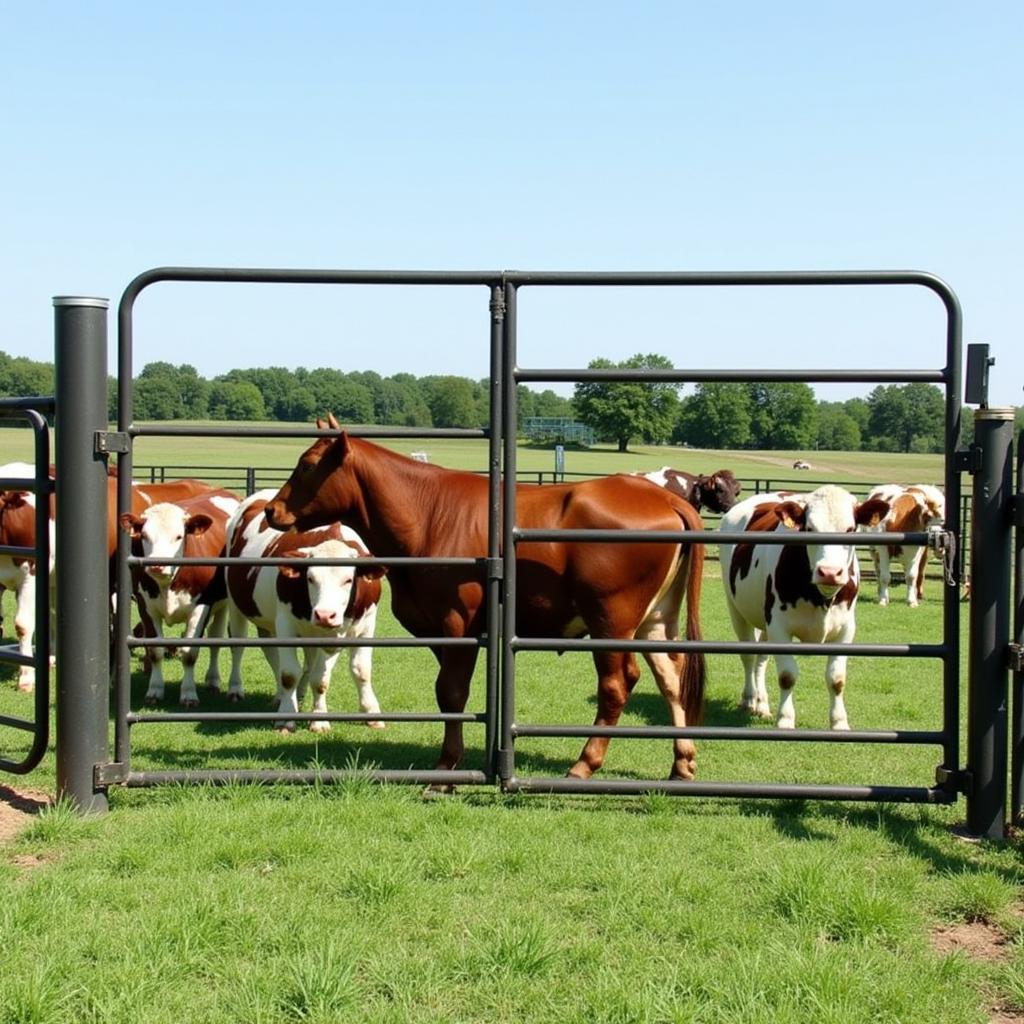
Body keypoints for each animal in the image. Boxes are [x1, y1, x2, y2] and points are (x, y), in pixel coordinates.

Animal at [117, 487, 239, 704]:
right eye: (144, 535)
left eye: (179, 536)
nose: (157, 564)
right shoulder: (145, 606)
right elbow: (155, 651)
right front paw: (155, 690)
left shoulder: (202, 606)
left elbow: (189, 653)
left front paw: (189, 693)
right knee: (215, 638)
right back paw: (212, 680)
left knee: (224, 640)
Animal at [223, 491, 385, 733]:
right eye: (310, 578)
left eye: (348, 579)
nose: (325, 614)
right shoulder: (286, 624)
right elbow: (289, 674)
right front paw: (287, 718)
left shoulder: (364, 626)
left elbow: (353, 672)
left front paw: (368, 712)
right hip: (236, 606)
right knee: (240, 645)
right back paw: (239, 689)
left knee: (289, 658)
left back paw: (290, 697)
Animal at [264, 415, 708, 782]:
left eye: (307, 465)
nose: (271, 510)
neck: (428, 514)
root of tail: (665, 497)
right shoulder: (441, 629)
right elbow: (451, 693)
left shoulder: (456, 621)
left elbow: (451, 691)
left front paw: (446, 768)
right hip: (655, 618)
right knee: (672, 677)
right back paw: (682, 762)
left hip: (611, 618)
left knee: (617, 684)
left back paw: (585, 763)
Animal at [720, 485, 888, 729]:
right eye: (809, 528)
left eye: (850, 529)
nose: (829, 572)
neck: (821, 598)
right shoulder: (779, 627)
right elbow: (787, 676)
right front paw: (785, 719)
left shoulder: (846, 629)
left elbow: (837, 679)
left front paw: (839, 722)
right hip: (736, 610)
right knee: (748, 657)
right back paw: (750, 698)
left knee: (761, 659)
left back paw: (762, 704)